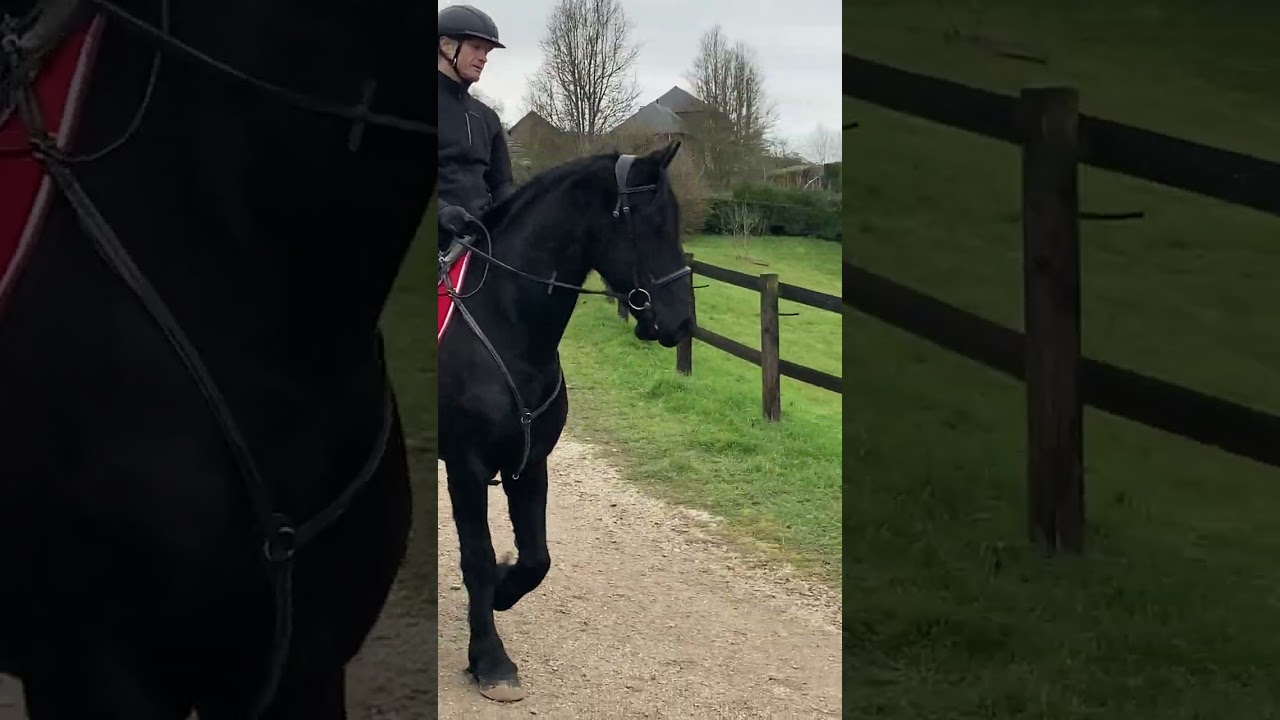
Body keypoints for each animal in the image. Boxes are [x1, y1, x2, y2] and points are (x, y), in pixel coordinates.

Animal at [437, 141, 696, 702]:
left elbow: (536, 558)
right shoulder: (466, 465)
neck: (506, 326)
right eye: (651, 222)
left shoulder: (530, 461)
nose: (682, 323)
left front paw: (503, 592)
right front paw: (490, 660)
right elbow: (477, 557)